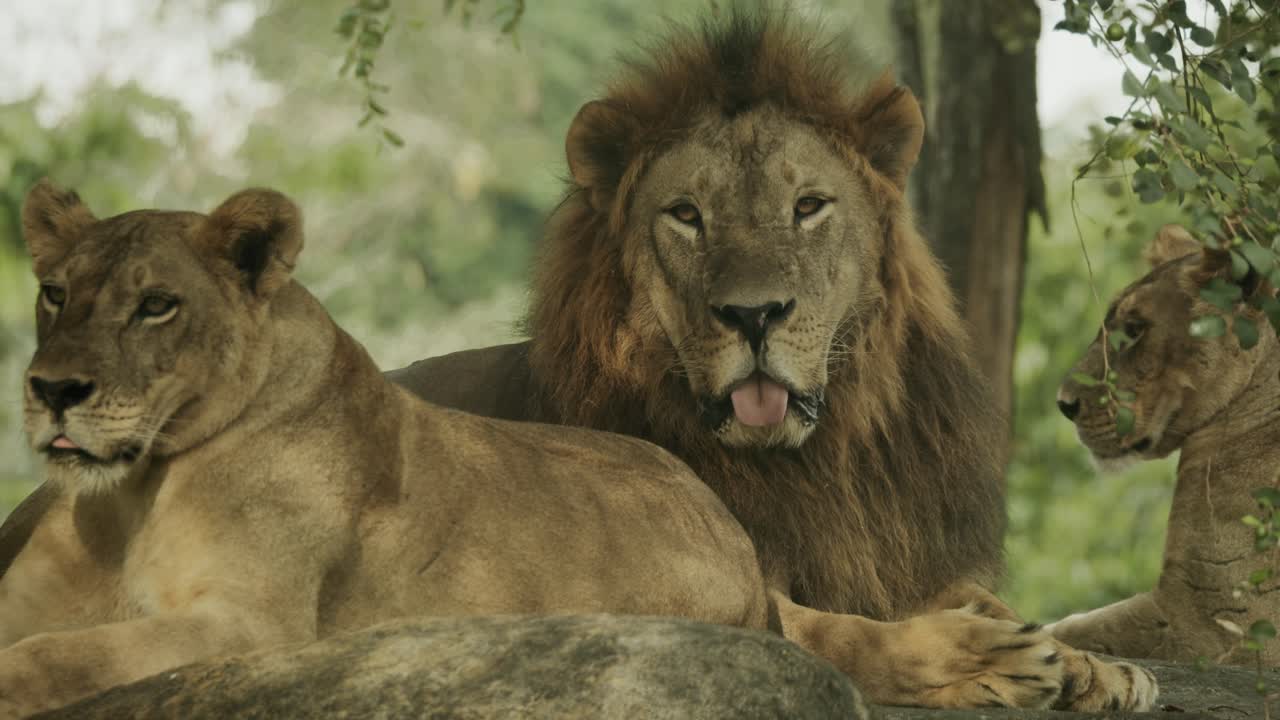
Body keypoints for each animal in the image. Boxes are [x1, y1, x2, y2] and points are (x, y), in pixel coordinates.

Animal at [0, 181, 773, 718]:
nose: (53, 389)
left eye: (156, 305)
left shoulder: (255, 628)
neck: (131, 495)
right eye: (54, 293)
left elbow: (62, 657)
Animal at [384, 8, 1157, 712]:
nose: (753, 316)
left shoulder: (890, 558)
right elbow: (848, 635)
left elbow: (993, 601)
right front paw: (989, 657)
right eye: (686, 214)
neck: (816, 463)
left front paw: (1100, 666)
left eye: (808, 206)